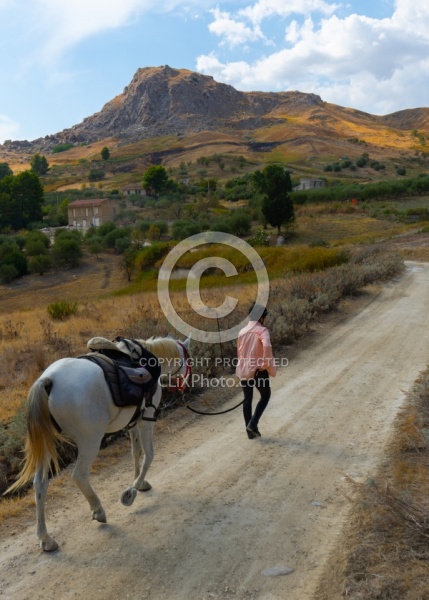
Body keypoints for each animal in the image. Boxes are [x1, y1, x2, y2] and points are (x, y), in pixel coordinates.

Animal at [6, 336, 191, 552]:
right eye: (188, 358)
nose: (186, 383)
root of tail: (49, 380)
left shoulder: (132, 422)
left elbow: (136, 452)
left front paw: (140, 482)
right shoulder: (147, 418)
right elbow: (149, 454)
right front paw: (132, 489)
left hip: (46, 444)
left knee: (40, 484)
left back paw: (46, 538)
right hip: (90, 441)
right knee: (79, 476)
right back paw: (98, 510)